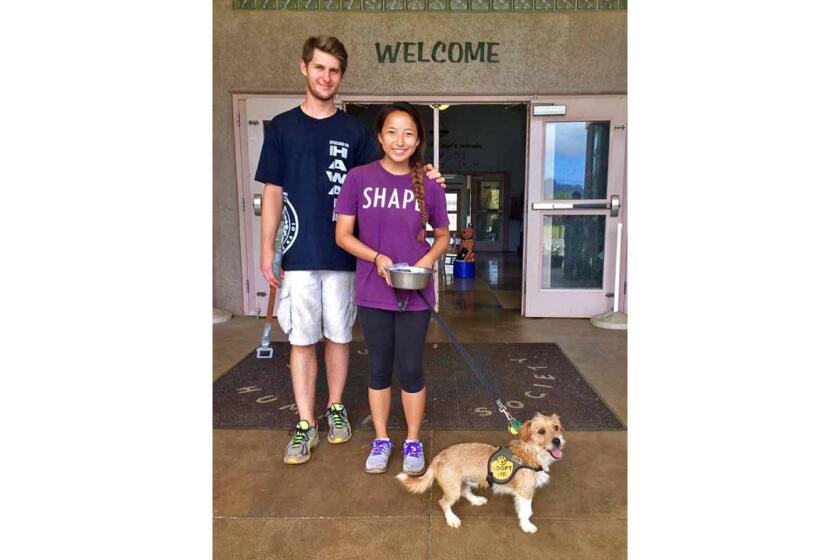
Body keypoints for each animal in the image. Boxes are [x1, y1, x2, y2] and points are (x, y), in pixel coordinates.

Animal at [394, 414, 564, 532]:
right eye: (541, 431)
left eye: (556, 427)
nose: (557, 441)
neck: (531, 452)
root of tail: (439, 456)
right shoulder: (525, 492)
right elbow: (527, 511)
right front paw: (527, 526)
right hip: (453, 488)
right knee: (444, 502)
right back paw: (452, 519)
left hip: (464, 481)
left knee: (464, 491)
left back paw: (476, 500)